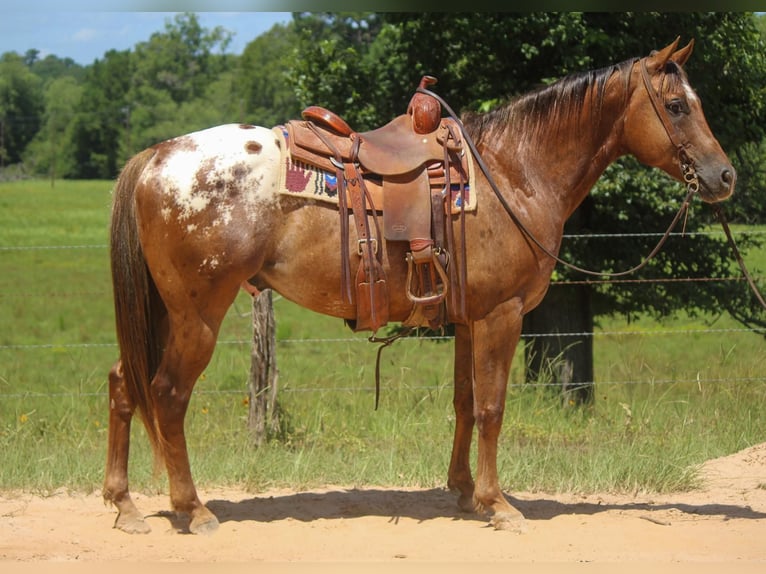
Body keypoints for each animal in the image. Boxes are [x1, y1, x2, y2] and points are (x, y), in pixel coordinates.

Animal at [103, 38, 736, 536]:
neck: (514, 171)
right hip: (197, 316)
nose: (724, 176)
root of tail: (155, 157)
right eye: (676, 105)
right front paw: (498, 504)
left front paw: (463, 491)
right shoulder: (502, 314)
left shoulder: (468, 317)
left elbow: (464, 403)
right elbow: (492, 407)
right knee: (167, 395)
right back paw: (193, 510)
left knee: (123, 384)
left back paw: (124, 504)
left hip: (162, 313)